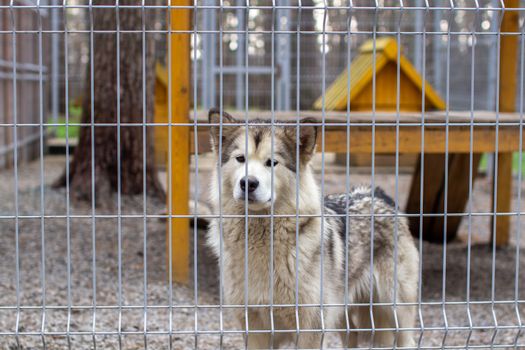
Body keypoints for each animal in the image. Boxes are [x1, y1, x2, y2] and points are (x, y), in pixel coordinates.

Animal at [205, 108, 418, 348]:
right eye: (240, 159)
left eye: (272, 162)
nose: (248, 183)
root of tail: (377, 194)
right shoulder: (254, 327)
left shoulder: (311, 328)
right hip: (343, 313)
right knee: (352, 335)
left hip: (394, 309)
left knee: (407, 340)